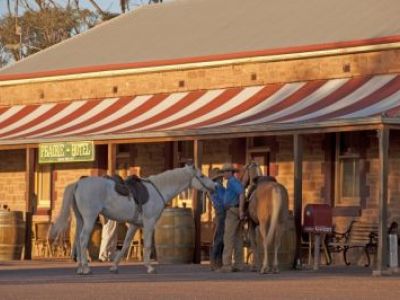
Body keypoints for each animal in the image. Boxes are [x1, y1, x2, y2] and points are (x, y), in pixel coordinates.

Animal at [49, 164, 216, 274]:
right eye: (201, 176)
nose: (214, 186)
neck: (158, 189)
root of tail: (79, 183)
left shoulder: (135, 225)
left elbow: (125, 245)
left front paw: (114, 266)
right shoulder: (149, 223)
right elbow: (147, 245)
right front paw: (149, 267)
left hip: (80, 219)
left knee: (77, 240)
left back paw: (79, 267)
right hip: (89, 219)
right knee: (83, 240)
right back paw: (86, 268)